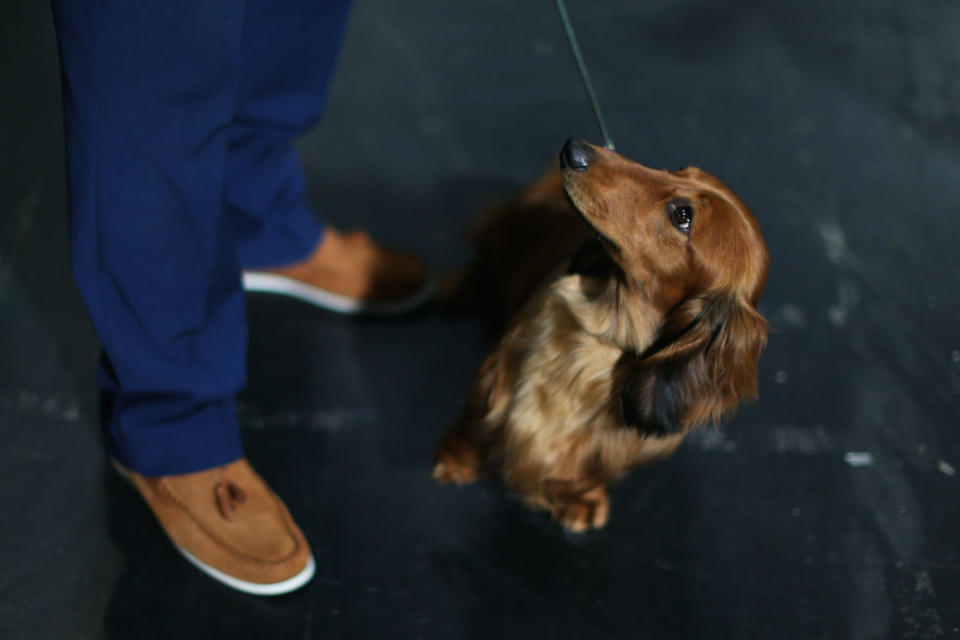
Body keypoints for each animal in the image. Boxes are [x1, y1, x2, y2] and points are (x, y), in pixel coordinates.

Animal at [436, 141, 772, 536]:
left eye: (682, 216)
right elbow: (473, 424)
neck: (604, 336)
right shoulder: (494, 375)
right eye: (678, 168)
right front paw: (456, 461)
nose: (574, 149)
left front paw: (580, 498)